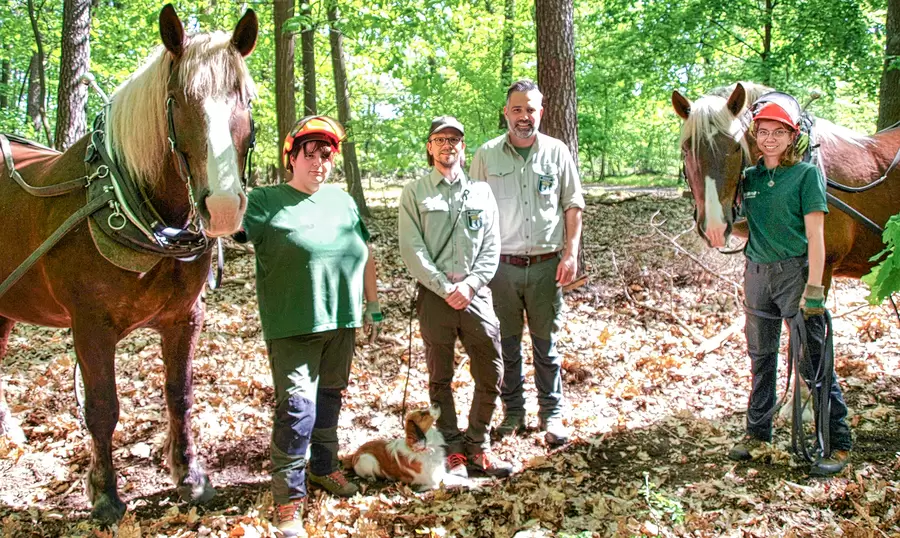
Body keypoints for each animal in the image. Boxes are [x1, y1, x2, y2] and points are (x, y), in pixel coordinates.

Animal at [0, 6, 256, 520]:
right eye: (177, 100)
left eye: (244, 99)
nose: (222, 207)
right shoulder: (89, 327)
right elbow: (102, 407)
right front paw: (104, 493)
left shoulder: (185, 317)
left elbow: (179, 394)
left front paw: (190, 476)